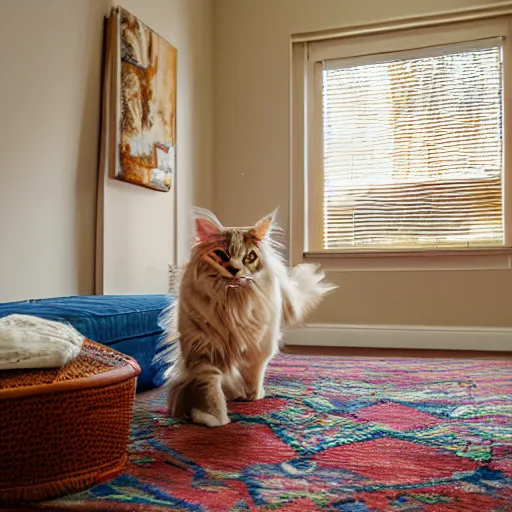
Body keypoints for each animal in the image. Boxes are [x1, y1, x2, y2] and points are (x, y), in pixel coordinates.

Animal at [161, 206, 336, 426]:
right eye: (221, 253)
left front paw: (253, 395)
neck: (232, 306)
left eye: (250, 257)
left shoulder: (258, 345)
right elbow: (208, 383)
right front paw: (212, 416)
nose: (235, 269)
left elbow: (254, 371)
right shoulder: (202, 346)